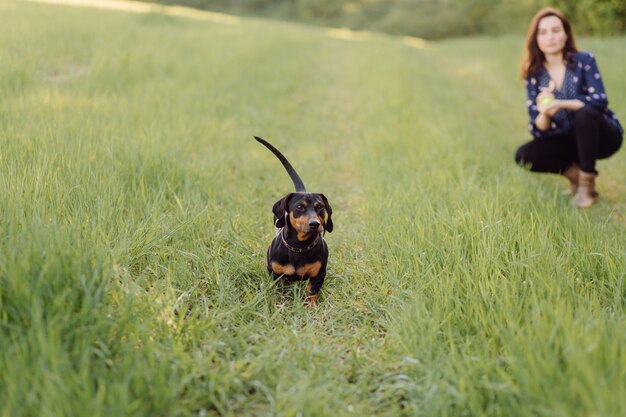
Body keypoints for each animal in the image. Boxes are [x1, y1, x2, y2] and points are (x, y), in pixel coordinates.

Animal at [254, 136, 332, 306]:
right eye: (299, 207)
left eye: (320, 207)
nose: (315, 224)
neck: (299, 247)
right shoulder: (275, 274)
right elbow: (281, 291)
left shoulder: (318, 275)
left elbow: (312, 292)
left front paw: (312, 308)